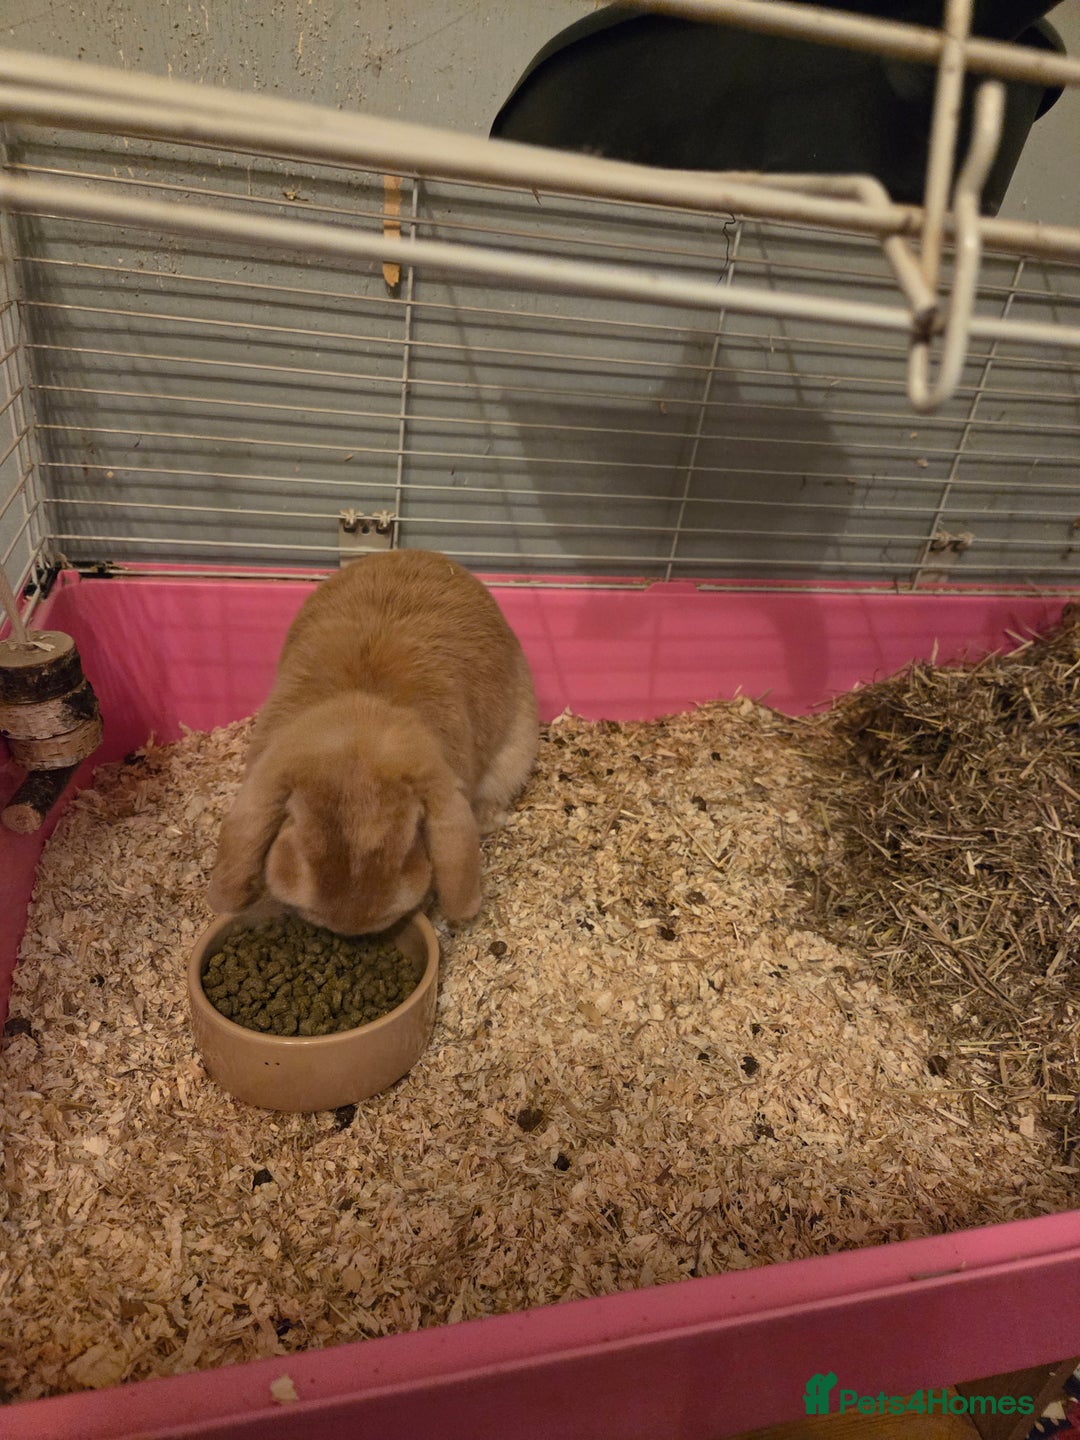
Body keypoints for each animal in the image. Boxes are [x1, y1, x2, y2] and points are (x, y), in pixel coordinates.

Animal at [206, 549, 539, 935]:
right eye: (299, 832)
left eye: (411, 837)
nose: (351, 924)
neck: (362, 719)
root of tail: (417, 552)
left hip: (515, 752)